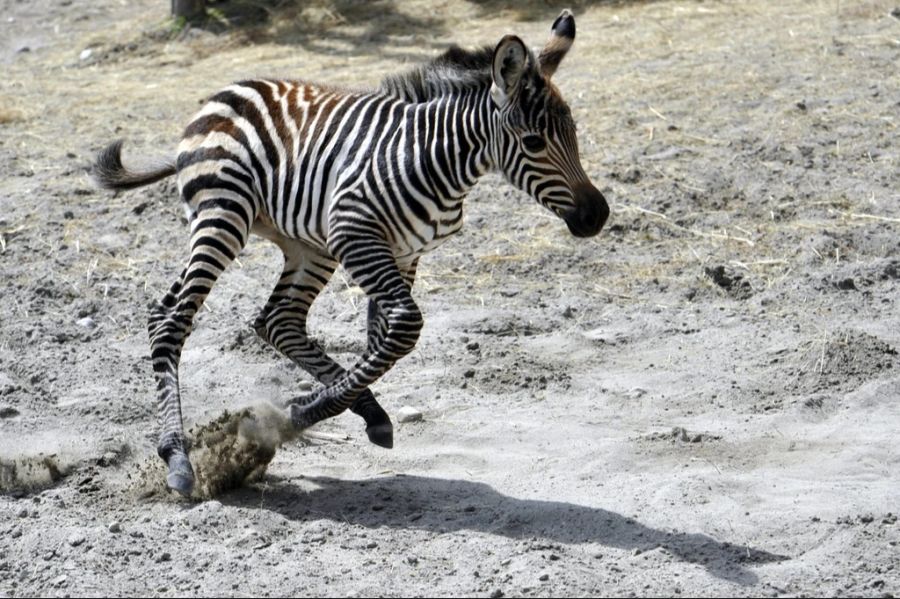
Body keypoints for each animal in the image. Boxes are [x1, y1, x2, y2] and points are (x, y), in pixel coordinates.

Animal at [93, 10, 612, 496]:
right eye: (534, 142)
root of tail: (225, 92)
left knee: (275, 320)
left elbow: (384, 336)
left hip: (307, 244)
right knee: (172, 318)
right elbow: (404, 327)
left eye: (574, 133)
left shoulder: (403, 252)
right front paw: (297, 415)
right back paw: (177, 457)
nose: (598, 216)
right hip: (224, 215)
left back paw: (365, 411)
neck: (437, 159)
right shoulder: (355, 234)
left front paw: (320, 410)